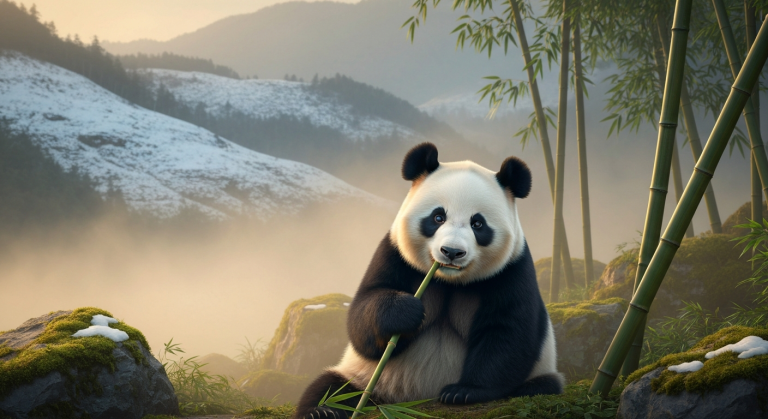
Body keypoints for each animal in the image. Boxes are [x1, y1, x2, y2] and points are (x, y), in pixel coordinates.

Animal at [295, 142, 564, 419]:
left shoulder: (512, 270)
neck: (448, 281)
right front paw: (405, 311)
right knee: (331, 388)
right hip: (365, 377)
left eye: (478, 224)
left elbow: (507, 331)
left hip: (541, 370)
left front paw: (463, 391)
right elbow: (363, 317)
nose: (452, 252)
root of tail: (402, 401)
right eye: (438, 217)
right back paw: (323, 410)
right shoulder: (394, 254)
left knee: (541, 385)